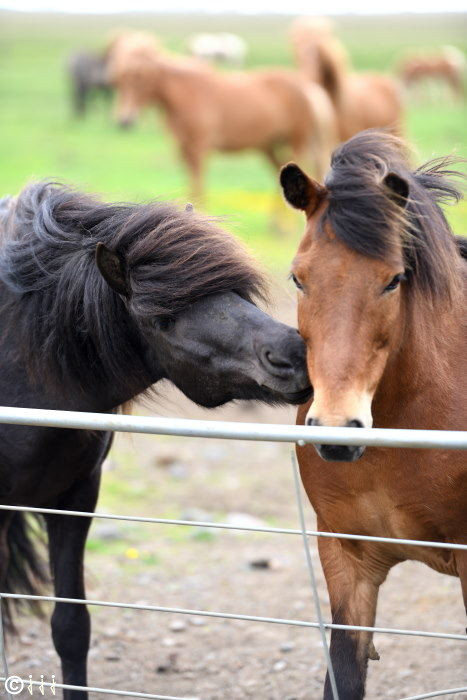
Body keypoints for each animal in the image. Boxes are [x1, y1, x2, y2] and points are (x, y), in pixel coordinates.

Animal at [107, 32, 337, 200]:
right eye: (118, 82)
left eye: (139, 80)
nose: (124, 121)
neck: (187, 93)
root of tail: (309, 86)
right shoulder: (185, 149)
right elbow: (192, 184)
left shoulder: (198, 149)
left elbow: (198, 185)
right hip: (269, 147)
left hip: (297, 142)